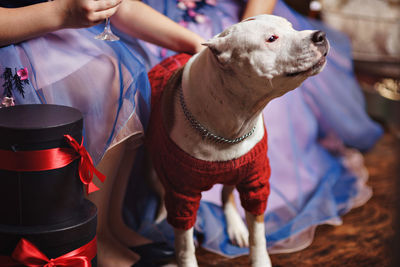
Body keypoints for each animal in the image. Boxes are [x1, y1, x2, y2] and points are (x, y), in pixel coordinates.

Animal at [145, 14, 330, 267]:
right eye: (272, 38)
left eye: (291, 27)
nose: (320, 35)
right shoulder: (182, 192)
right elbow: (184, 244)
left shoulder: (255, 180)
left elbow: (258, 232)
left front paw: (259, 257)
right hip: (155, 166)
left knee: (227, 195)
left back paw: (236, 227)